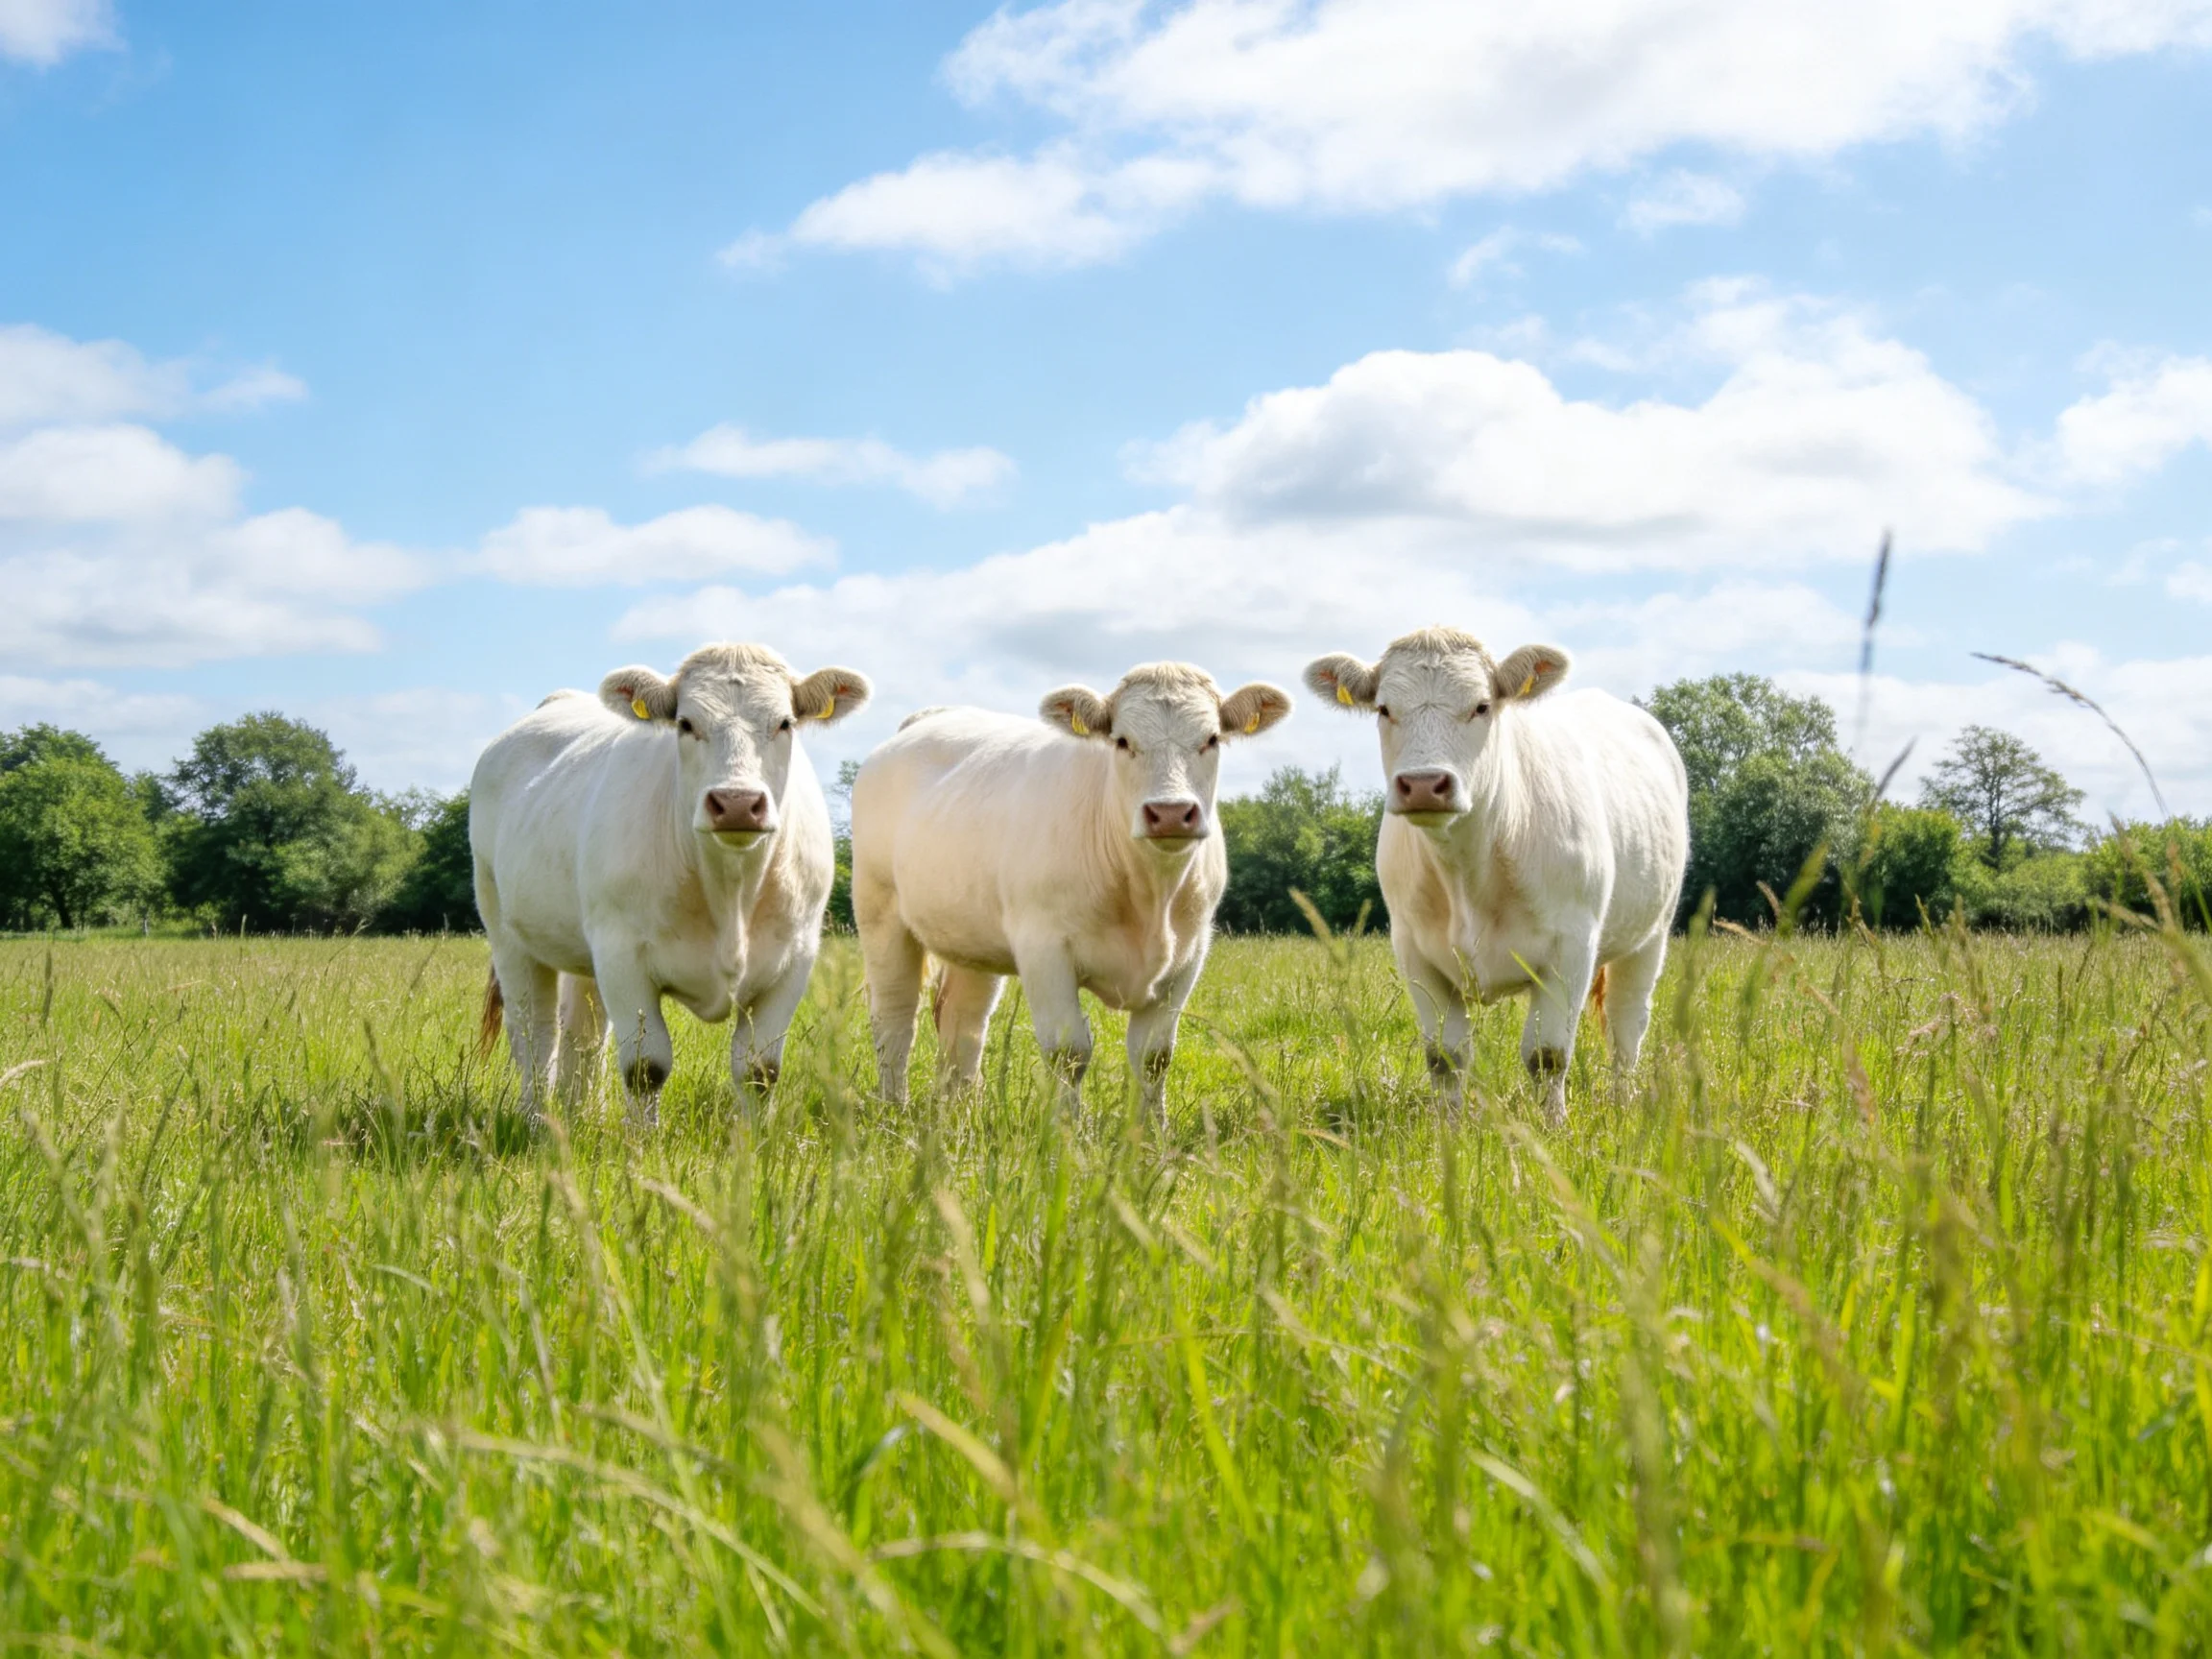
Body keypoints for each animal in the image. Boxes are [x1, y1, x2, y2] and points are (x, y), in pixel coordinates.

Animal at [469, 643, 870, 1122]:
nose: (737, 803)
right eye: (685, 723)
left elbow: (759, 1070)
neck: (729, 890)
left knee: (583, 1031)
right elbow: (646, 1067)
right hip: (507, 931)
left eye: (785, 723)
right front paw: (643, 1139)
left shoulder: (794, 959)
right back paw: (535, 1119)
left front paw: (756, 1139)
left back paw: (584, 1114)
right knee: (534, 1032)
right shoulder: (623, 955)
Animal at [851, 663, 1292, 1117]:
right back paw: (893, 1106)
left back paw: (961, 1112)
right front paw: (1067, 1130)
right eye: (1122, 740)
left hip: (970, 934)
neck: (1150, 897)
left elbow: (1154, 1056)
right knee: (894, 1016)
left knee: (964, 1022)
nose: (1170, 813)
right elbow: (1069, 1052)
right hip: (879, 908)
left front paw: (1153, 1131)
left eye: (1211, 739)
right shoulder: (1043, 948)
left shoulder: (1190, 954)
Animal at [1304, 628, 1687, 1120]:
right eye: (1384, 709)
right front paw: (1448, 1129)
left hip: (1651, 934)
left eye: (1482, 705)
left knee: (1626, 1028)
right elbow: (1445, 1055)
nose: (1424, 784)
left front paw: (1554, 1126)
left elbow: (1548, 1054)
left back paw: (1623, 1103)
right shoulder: (1413, 949)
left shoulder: (1571, 946)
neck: (1467, 870)